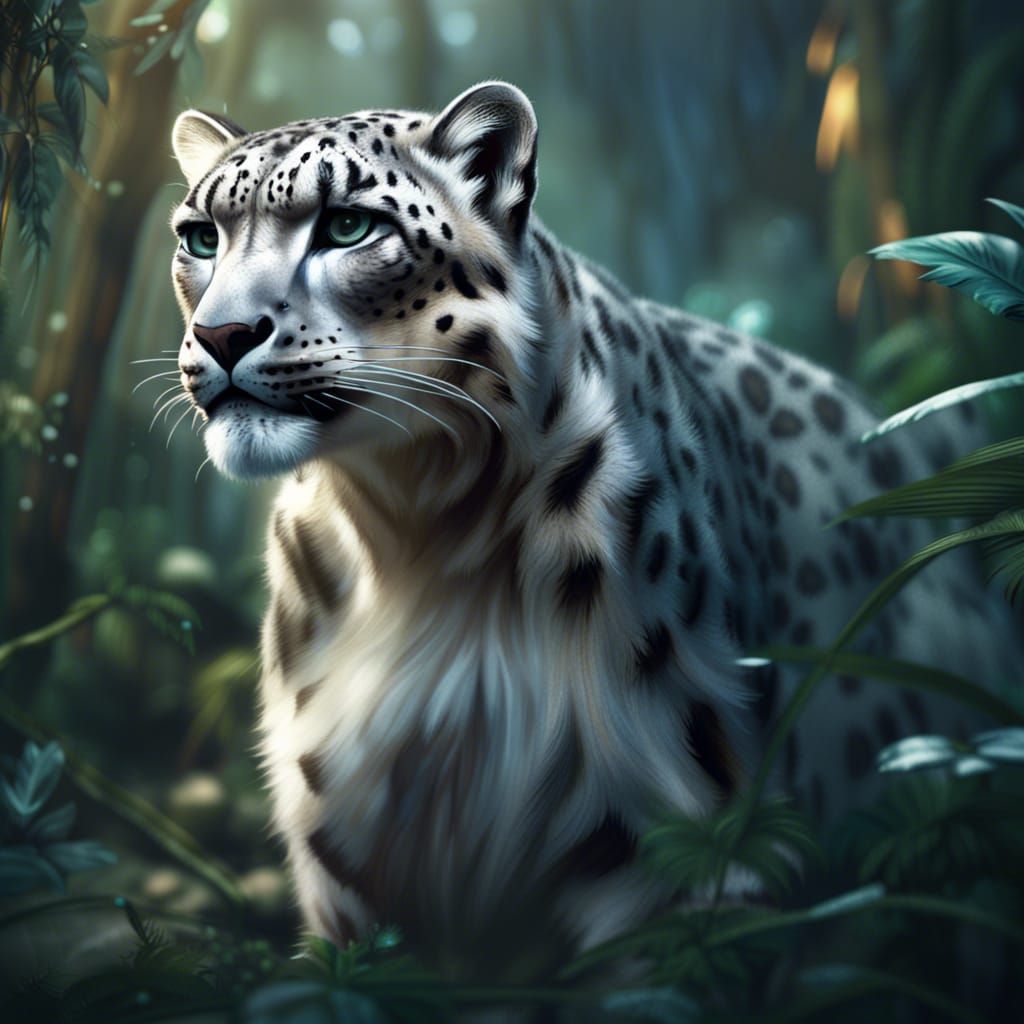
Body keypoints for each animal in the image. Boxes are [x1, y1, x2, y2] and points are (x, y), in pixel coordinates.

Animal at [168, 81, 1017, 984]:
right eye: (201, 238)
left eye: (347, 226)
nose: (223, 335)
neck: (411, 531)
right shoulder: (348, 840)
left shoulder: (679, 845)